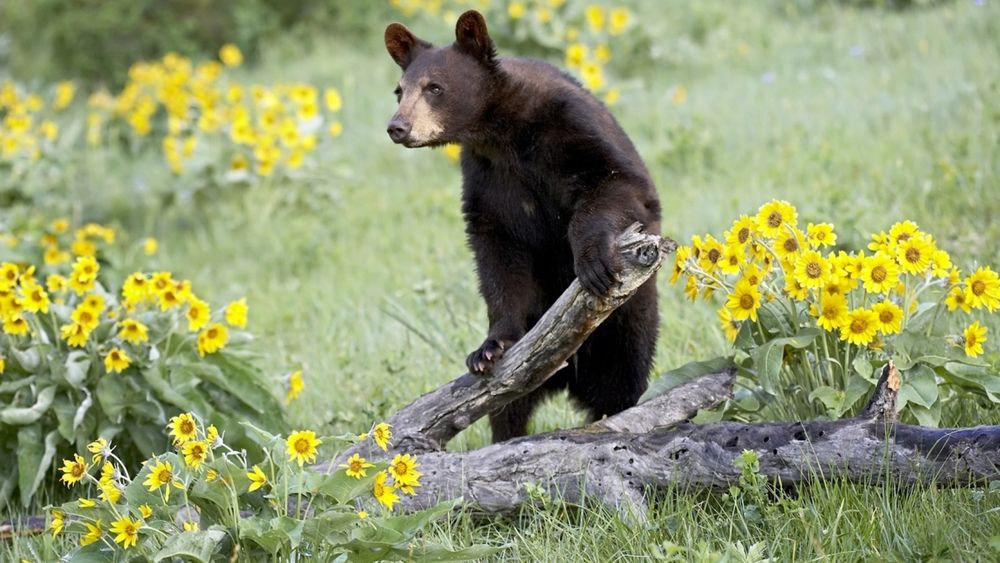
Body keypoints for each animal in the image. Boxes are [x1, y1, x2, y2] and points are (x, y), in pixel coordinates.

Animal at [386, 6, 660, 442]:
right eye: (399, 90)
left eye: (435, 88)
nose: (397, 126)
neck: (501, 134)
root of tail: (569, 379)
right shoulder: (487, 178)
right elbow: (498, 253)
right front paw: (489, 347)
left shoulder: (572, 126)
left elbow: (617, 182)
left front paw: (593, 264)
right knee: (508, 407)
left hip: (627, 324)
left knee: (623, 379)